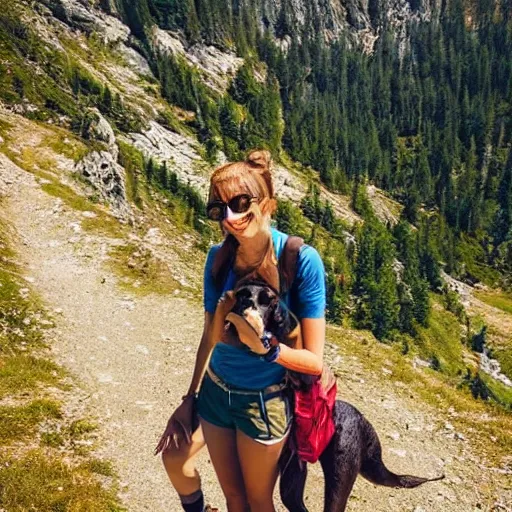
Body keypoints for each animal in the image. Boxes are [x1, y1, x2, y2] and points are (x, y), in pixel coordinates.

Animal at [229, 280, 444, 512]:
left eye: (266, 300)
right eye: (242, 294)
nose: (246, 304)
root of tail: (364, 423)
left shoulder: (307, 368)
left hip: (341, 470)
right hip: (293, 473)